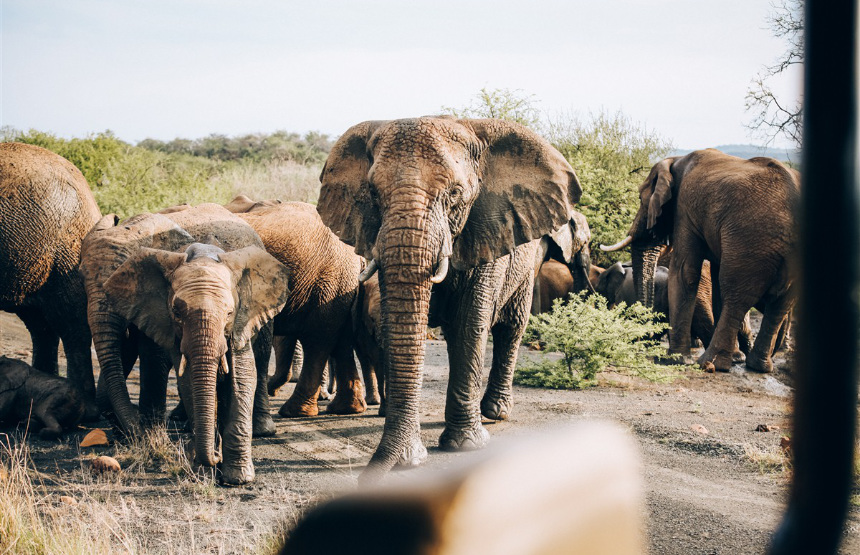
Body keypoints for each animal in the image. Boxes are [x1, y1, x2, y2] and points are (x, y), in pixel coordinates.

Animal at [80, 204, 290, 485]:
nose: (215, 457)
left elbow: (242, 376)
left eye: (229, 313)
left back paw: (259, 430)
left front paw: (236, 477)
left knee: (262, 355)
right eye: (80, 277)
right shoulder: (152, 306)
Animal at [224, 197, 369, 417]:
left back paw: (294, 411)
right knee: (340, 339)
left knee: (317, 338)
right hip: (339, 282)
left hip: (326, 279)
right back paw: (346, 408)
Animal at [316, 117, 581, 481]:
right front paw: (409, 458)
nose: (363, 479)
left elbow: (469, 323)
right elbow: (393, 325)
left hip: (528, 262)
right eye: (372, 193)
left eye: (455, 194)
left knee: (510, 327)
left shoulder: (487, 229)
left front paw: (465, 446)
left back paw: (494, 413)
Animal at [601, 149, 799, 373]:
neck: (674, 160)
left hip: (750, 241)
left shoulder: (684, 209)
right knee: (779, 304)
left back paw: (710, 363)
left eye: (641, 198)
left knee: (736, 296)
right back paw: (757, 366)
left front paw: (674, 360)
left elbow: (684, 271)